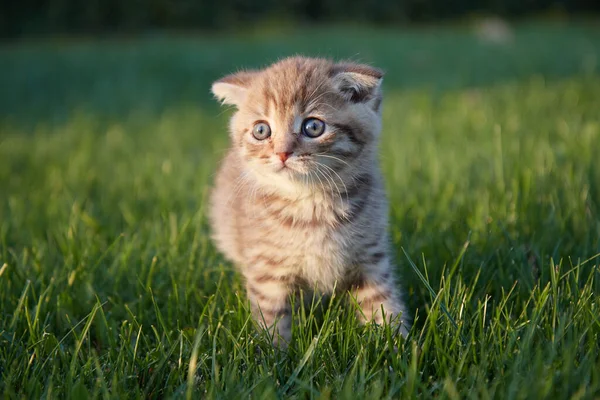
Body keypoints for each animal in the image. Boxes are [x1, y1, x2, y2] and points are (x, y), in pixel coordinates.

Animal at [209, 57, 410, 346]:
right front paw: (272, 354)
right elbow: (272, 319)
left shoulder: (371, 258)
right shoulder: (267, 271)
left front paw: (398, 347)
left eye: (313, 127)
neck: (311, 205)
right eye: (261, 130)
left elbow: (383, 304)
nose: (282, 153)